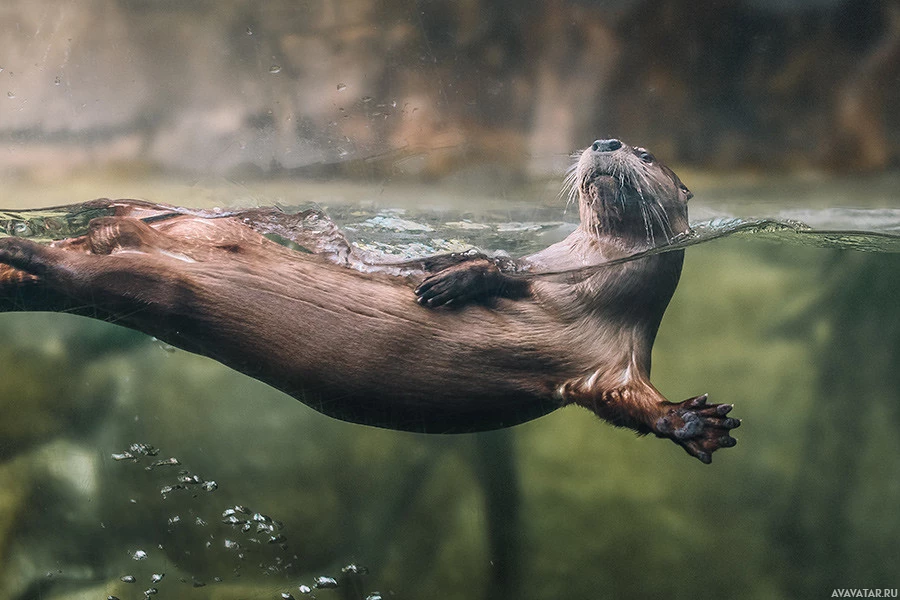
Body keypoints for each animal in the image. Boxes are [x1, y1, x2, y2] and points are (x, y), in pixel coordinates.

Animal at [0, 139, 740, 464]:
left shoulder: (613, 357)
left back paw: (18, 261)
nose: (608, 140)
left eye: (646, 153)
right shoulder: (543, 271)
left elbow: (626, 402)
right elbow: (499, 268)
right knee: (84, 258)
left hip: (148, 283)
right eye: (612, 140)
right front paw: (446, 277)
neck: (589, 282)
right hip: (158, 264)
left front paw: (692, 423)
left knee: (80, 270)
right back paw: (22, 247)